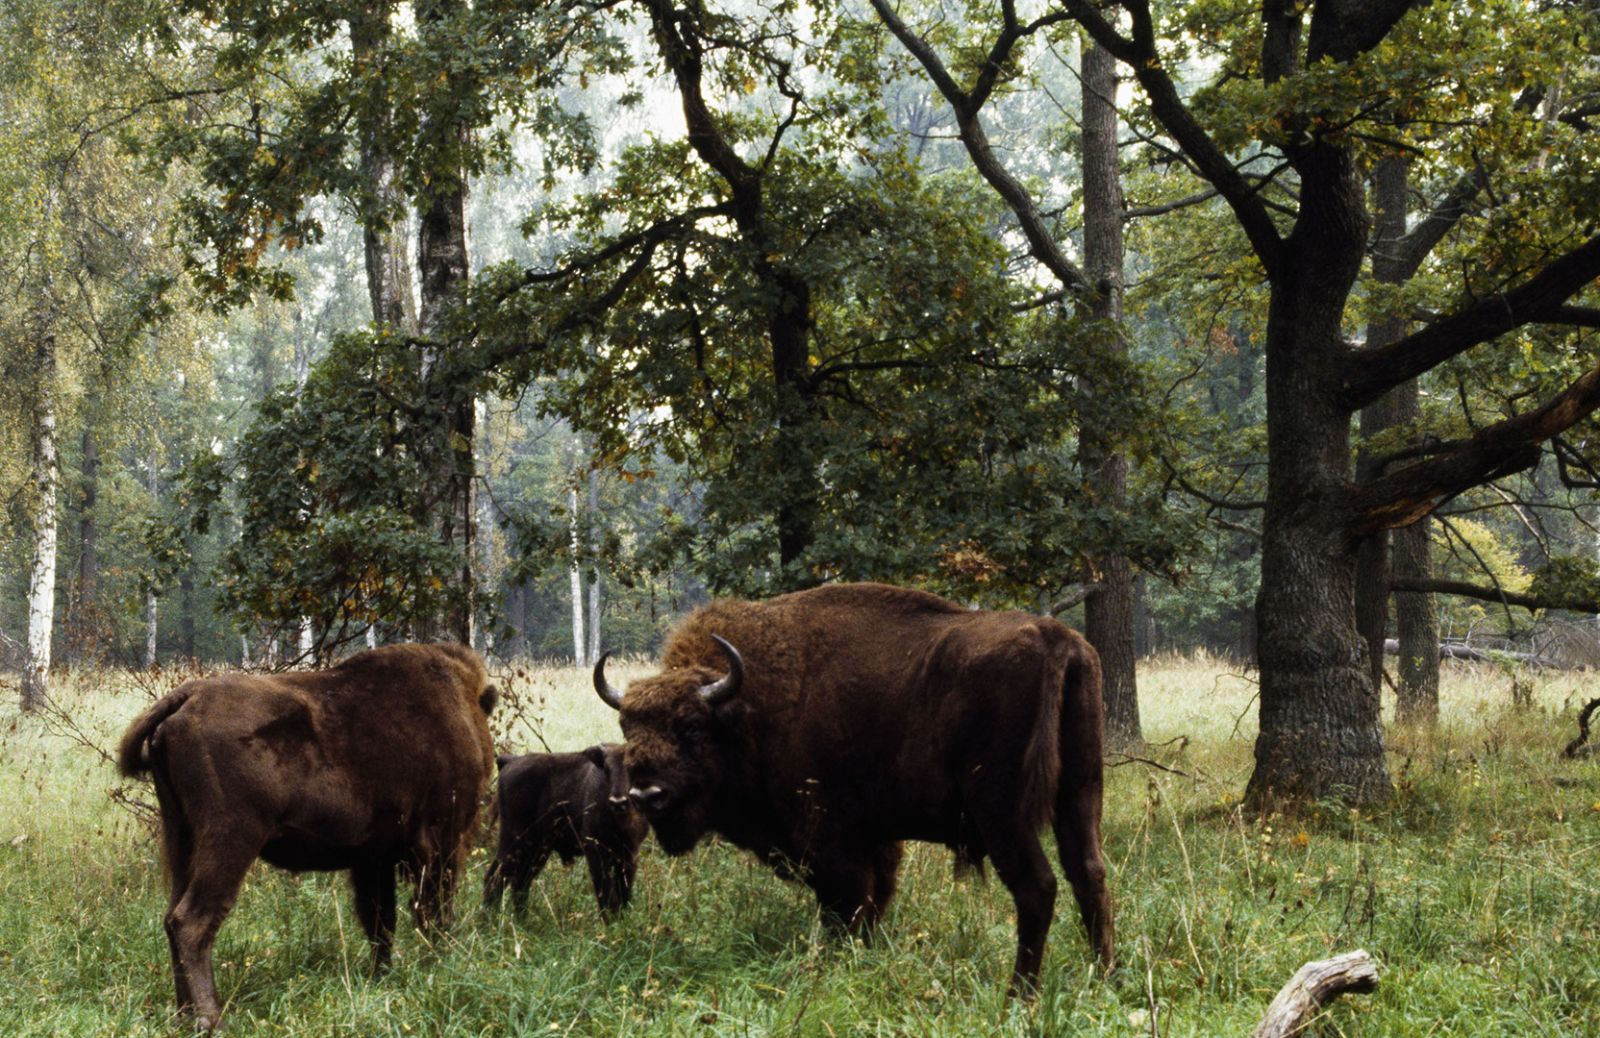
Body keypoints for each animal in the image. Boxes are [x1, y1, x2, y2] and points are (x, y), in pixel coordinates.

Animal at [116, 639, 492, 1030]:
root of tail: (187, 698)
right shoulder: (440, 844)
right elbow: (432, 912)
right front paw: (438, 964)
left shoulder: (374, 859)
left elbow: (380, 921)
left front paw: (382, 977)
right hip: (231, 837)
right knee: (191, 920)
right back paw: (211, 1019)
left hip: (182, 838)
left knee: (172, 917)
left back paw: (184, 1015)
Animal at [598, 578, 1113, 991]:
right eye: (627, 726)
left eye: (691, 727)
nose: (646, 796)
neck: (750, 706)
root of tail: (1055, 638)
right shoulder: (877, 841)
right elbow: (873, 902)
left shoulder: (833, 844)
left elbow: (847, 908)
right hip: (1081, 793)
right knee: (1088, 872)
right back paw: (1106, 976)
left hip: (1003, 812)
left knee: (1038, 886)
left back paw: (1020, 994)